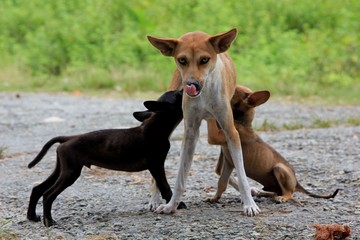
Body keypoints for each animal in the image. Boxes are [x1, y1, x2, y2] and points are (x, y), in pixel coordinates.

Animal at [28, 90, 184, 227]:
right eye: (179, 94)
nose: (187, 86)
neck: (157, 125)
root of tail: (68, 138)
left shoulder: (155, 167)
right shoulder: (156, 165)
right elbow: (165, 187)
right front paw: (176, 205)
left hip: (62, 169)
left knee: (37, 189)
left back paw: (32, 217)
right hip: (70, 173)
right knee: (48, 195)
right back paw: (49, 222)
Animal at [148, 29, 260, 217]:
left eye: (204, 60)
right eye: (182, 60)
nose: (191, 84)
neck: (205, 93)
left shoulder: (230, 131)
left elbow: (241, 173)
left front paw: (249, 204)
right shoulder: (190, 133)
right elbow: (180, 177)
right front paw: (171, 205)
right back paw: (154, 199)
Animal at [207, 85, 338, 203]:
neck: (241, 121)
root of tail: (296, 183)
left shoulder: (218, 137)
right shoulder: (228, 162)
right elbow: (222, 182)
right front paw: (215, 198)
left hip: (279, 168)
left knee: (289, 192)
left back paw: (282, 198)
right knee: (276, 191)